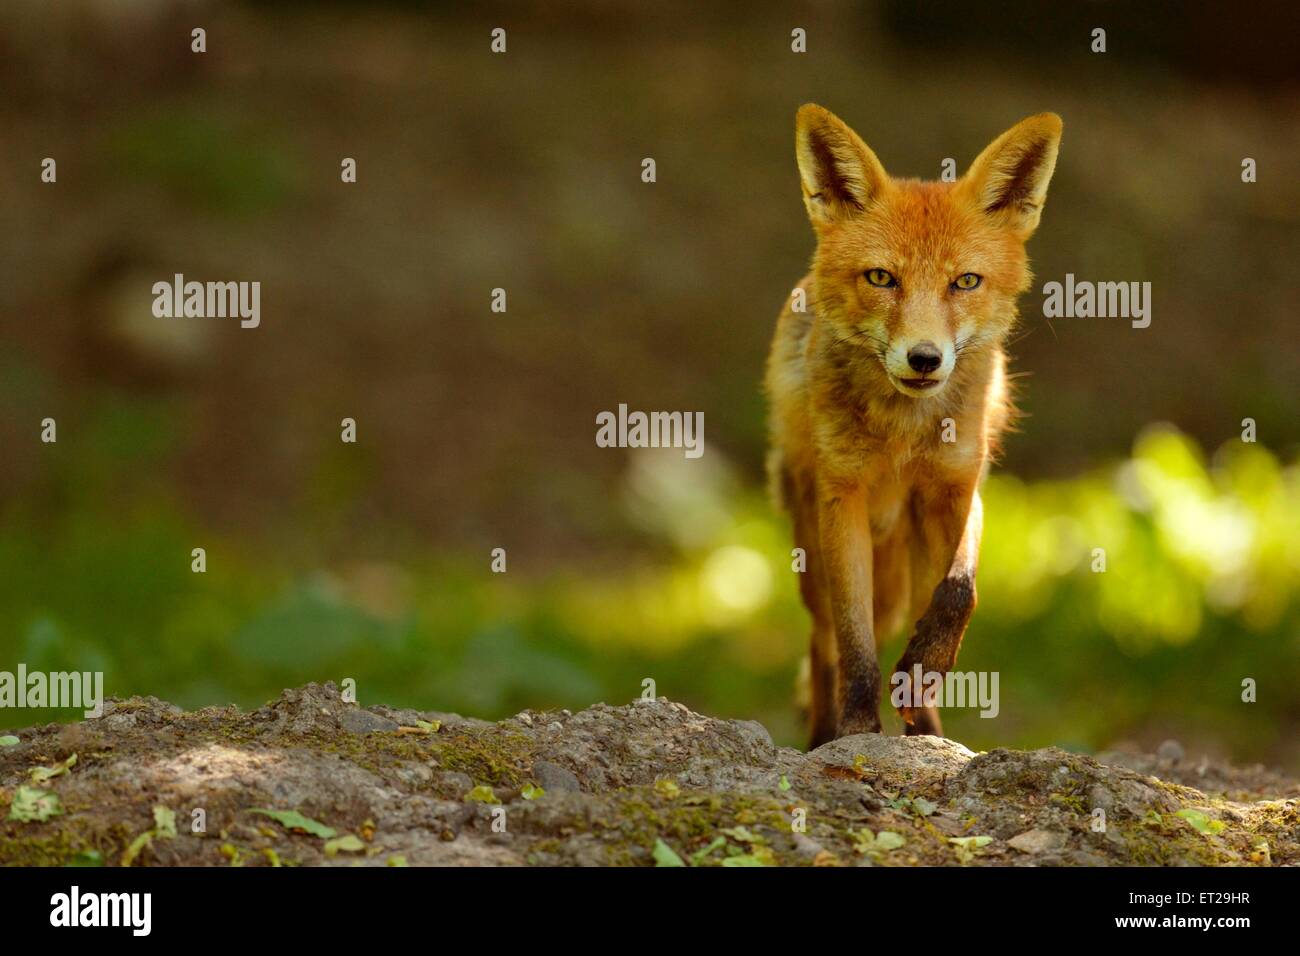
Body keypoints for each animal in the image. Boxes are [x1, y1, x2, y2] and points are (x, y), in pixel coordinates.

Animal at [764, 102, 1060, 749]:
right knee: (823, 640)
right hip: (814, 554)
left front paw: (922, 671)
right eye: (881, 278)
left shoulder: (958, 488)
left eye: (965, 281)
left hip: (909, 564)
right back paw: (821, 736)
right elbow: (854, 645)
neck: (903, 438)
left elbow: (961, 593)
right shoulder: (841, 498)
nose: (924, 359)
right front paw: (854, 731)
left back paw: (926, 728)